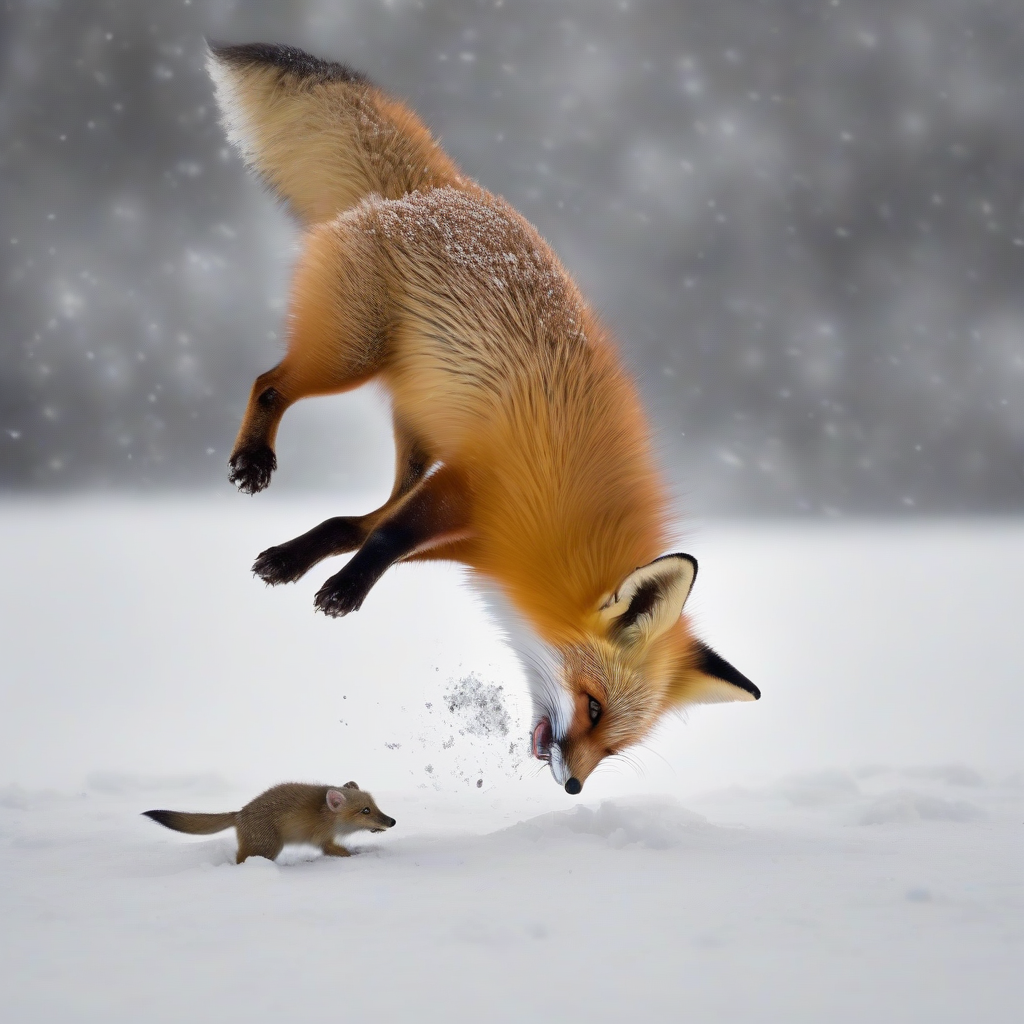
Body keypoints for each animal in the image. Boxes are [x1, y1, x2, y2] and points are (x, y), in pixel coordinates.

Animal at [143, 782, 395, 864]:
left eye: (374, 805)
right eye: (365, 810)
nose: (392, 821)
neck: (325, 815)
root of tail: (239, 813)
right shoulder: (323, 841)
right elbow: (341, 852)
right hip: (267, 848)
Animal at [205, 41, 761, 798]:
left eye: (614, 745)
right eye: (592, 705)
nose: (574, 787)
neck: (553, 536)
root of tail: (443, 185)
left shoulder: (473, 537)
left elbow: (371, 531)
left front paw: (311, 568)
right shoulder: (470, 477)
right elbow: (388, 536)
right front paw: (343, 590)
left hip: (411, 437)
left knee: (355, 513)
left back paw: (288, 555)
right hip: (349, 356)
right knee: (269, 386)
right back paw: (253, 461)